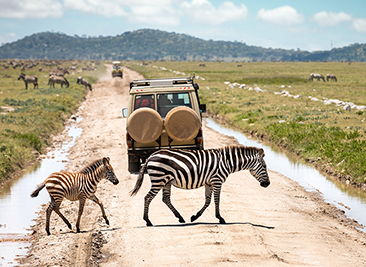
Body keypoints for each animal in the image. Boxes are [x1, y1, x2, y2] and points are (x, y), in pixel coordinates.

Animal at [130, 146, 270, 227]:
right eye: (264, 166)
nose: (267, 184)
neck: (226, 162)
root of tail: (150, 156)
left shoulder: (209, 183)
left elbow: (208, 201)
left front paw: (194, 217)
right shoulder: (217, 180)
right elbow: (217, 200)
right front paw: (220, 218)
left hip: (166, 181)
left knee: (165, 199)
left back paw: (180, 218)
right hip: (159, 179)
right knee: (147, 197)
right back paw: (148, 221)